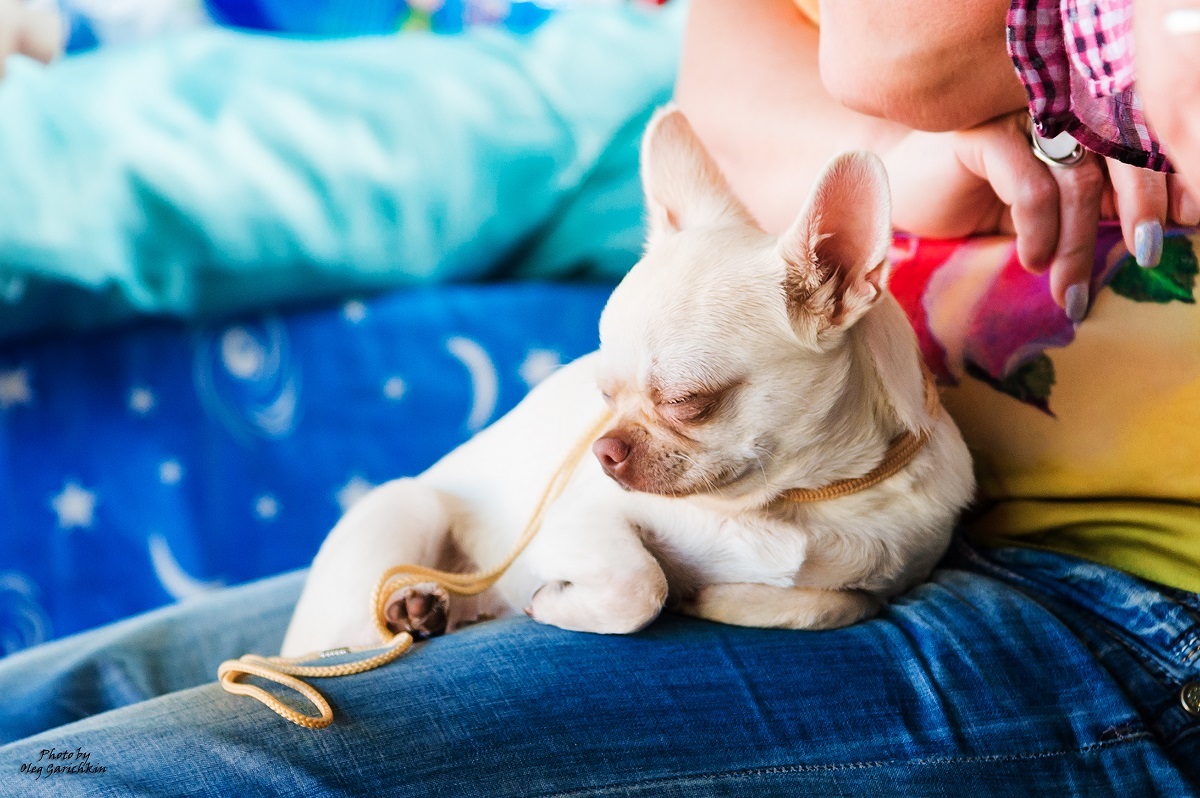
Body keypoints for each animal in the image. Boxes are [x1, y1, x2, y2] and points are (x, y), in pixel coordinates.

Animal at [280, 105, 974, 652]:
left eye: (688, 402)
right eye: (603, 396)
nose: (603, 450)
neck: (797, 503)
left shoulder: (886, 578)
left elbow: (835, 602)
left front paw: (717, 598)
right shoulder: (570, 526)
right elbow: (642, 582)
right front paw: (562, 601)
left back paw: (432, 609)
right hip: (408, 510)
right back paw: (415, 610)